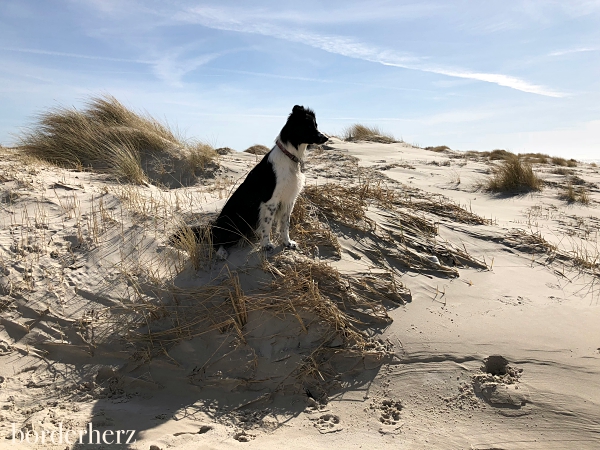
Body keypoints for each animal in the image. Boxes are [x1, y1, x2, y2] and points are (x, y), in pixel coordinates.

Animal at [186, 104, 328, 258]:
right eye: (308, 126)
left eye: (316, 125)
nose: (326, 138)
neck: (290, 156)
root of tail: (213, 226)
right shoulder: (270, 202)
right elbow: (267, 225)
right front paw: (266, 245)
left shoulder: (289, 200)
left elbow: (285, 224)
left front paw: (287, 243)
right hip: (233, 222)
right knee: (216, 240)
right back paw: (221, 252)